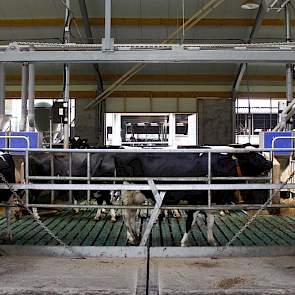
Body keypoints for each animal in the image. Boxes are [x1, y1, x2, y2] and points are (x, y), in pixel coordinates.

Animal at [115, 149, 272, 246]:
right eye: (254, 156)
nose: (270, 163)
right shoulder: (196, 201)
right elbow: (190, 223)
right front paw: (184, 242)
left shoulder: (211, 202)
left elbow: (210, 222)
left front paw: (212, 241)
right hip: (127, 192)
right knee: (126, 216)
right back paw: (133, 237)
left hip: (135, 196)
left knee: (131, 214)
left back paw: (134, 236)